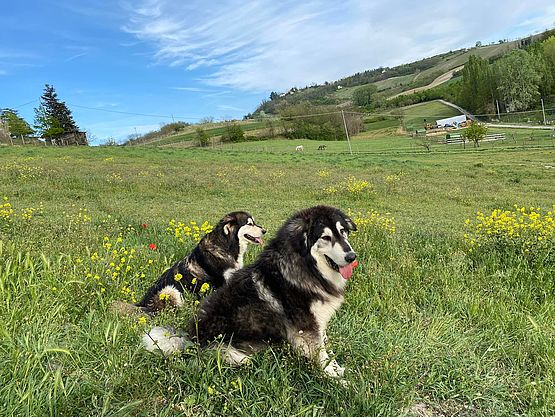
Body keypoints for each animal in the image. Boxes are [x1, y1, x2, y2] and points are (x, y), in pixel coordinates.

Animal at [143, 206, 358, 378]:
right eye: (326, 237)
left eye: (343, 232)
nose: (352, 257)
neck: (305, 266)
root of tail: (190, 339)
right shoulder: (307, 328)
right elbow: (322, 357)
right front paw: (338, 380)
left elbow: (327, 352)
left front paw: (339, 370)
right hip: (235, 354)